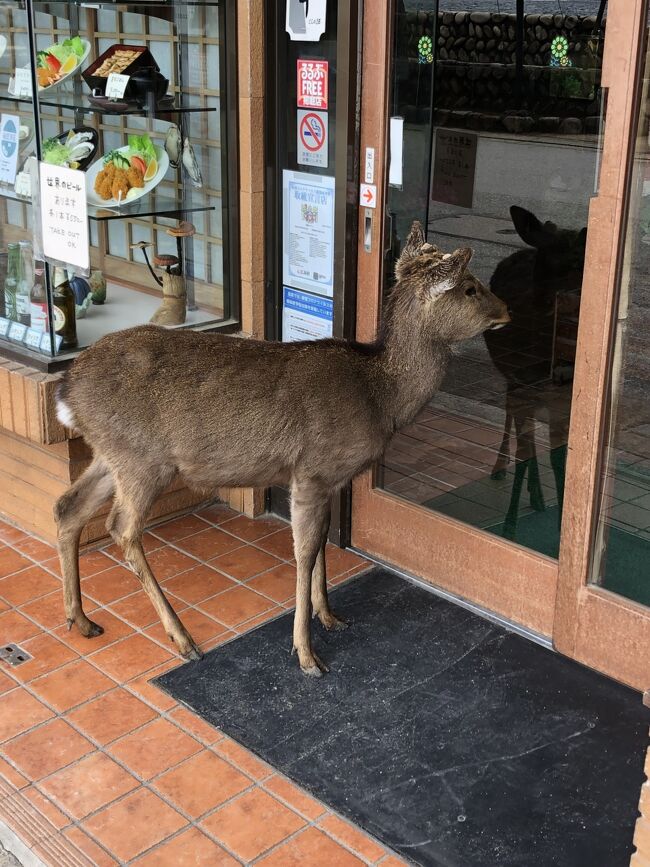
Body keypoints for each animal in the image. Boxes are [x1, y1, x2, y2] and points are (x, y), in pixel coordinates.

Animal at [54, 222, 510, 677]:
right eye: (470, 287)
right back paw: (182, 639)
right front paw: (306, 653)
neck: (380, 397)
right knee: (121, 528)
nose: (507, 309)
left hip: (109, 452)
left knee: (68, 506)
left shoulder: (329, 479)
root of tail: (67, 389)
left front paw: (330, 616)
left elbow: (323, 541)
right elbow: (304, 552)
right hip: (142, 459)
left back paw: (81, 619)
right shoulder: (312, 470)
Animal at [484, 205, 586, 537]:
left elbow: (558, 458)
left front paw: (560, 524)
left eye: (580, 260)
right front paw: (510, 525)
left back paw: (538, 495)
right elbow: (524, 451)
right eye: (543, 263)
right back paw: (501, 470)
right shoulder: (523, 384)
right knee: (512, 422)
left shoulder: (561, 401)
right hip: (510, 379)